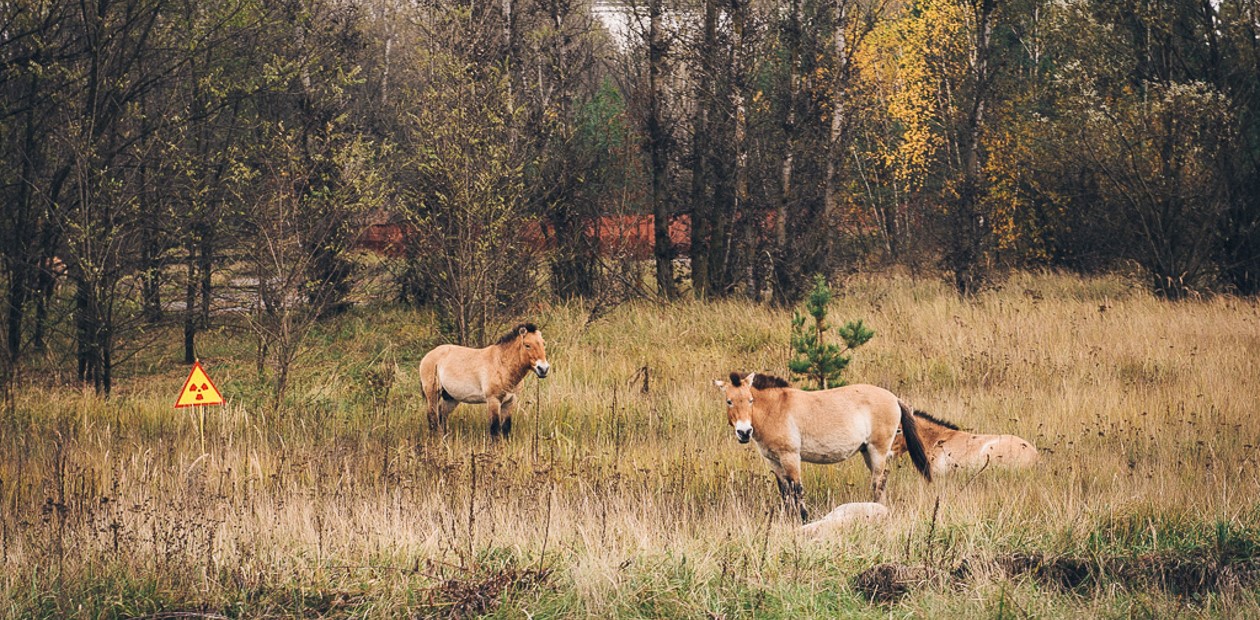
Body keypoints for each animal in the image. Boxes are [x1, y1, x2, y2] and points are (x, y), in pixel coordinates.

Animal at [419, 323, 550, 438]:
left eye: (543, 344)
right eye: (527, 345)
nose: (543, 369)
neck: (502, 365)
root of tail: (428, 356)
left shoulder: (510, 402)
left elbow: (506, 429)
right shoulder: (493, 401)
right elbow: (494, 430)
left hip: (451, 398)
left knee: (442, 416)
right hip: (433, 394)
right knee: (433, 418)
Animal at [713, 372, 931, 522]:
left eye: (750, 400)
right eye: (729, 401)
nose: (744, 432)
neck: (774, 409)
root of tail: (894, 398)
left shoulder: (790, 457)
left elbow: (797, 489)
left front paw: (803, 519)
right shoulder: (774, 461)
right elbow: (785, 492)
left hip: (878, 450)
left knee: (878, 482)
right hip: (867, 452)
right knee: (882, 480)